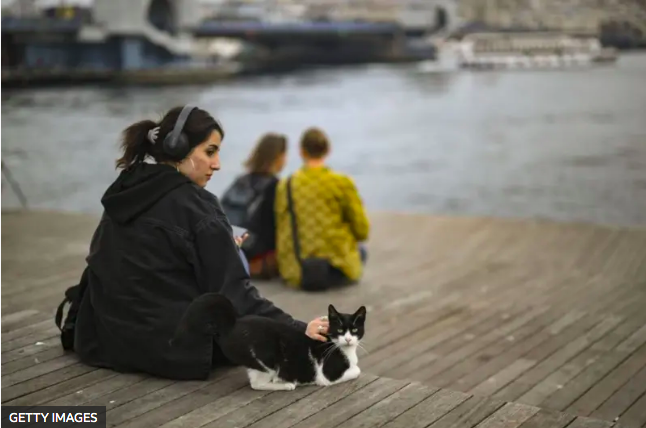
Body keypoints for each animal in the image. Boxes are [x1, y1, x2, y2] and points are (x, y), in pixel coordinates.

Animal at [173, 294, 364, 392]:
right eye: (340, 330)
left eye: (355, 330)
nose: (348, 339)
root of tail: (232, 323)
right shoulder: (327, 376)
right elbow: (356, 370)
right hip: (267, 359)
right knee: (256, 385)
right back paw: (286, 384)